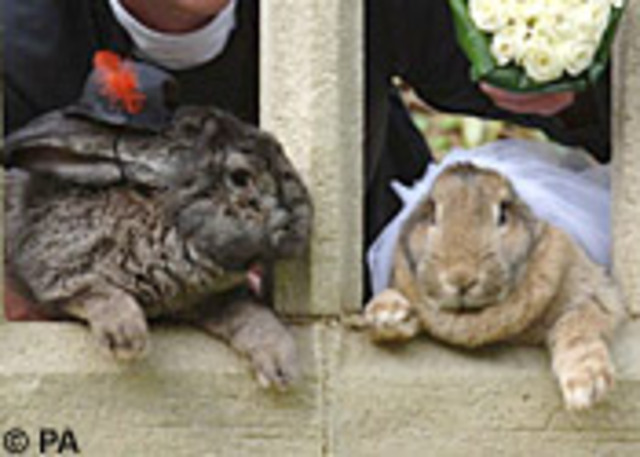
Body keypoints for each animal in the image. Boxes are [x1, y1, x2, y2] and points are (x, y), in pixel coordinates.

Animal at [3, 105, 313, 390]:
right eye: (240, 177)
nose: (304, 219)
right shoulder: (59, 273)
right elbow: (96, 292)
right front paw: (127, 340)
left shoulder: (215, 299)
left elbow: (254, 316)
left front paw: (283, 369)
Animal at [364, 161, 626, 410]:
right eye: (431, 215)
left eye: (503, 215)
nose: (461, 278)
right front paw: (386, 313)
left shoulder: (593, 294)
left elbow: (577, 326)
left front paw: (586, 385)